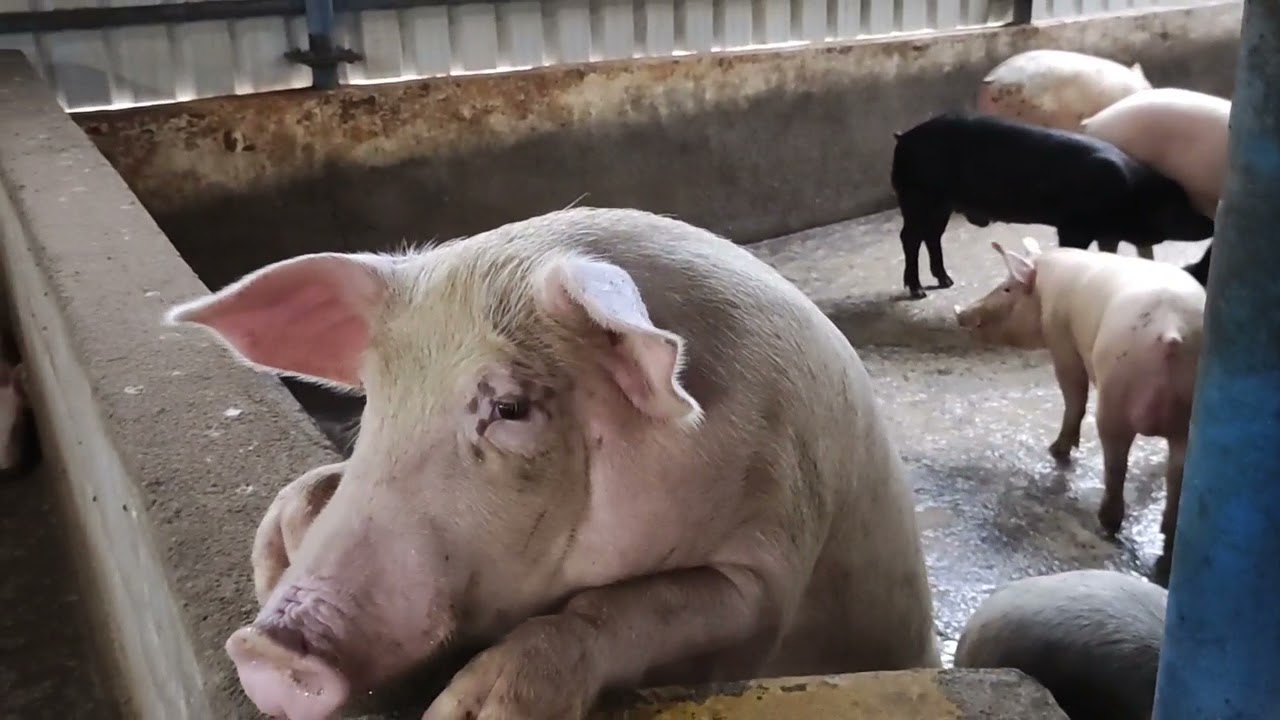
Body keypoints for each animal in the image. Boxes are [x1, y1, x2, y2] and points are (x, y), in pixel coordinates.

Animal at [165, 206, 941, 720]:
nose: (266, 655)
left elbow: (636, 606)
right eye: (376, 399)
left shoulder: (771, 558)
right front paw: (277, 546)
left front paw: (472, 712)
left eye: (511, 408)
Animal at [891, 113, 1215, 299]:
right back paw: (917, 291)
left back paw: (946, 281)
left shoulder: (1105, 232)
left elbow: (1108, 252)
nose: (1210, 222)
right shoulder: (1074, 226)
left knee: (932, 237)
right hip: (918, 198)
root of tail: (904, 137)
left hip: (941, 206)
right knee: (909, 238)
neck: (1131, 194)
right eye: (1176, 208)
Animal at [954, 237, 1205, 567]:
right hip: (1191, 415)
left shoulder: (1061, 338)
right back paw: (1168, 534)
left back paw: (1104, 520)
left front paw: (1055, 450)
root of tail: (1172, 331)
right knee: (1177, 473)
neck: (1046, 285)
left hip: (1114, 396)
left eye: (1007, 288)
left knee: (1116, 463)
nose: (960, 313)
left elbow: (1074, 392)